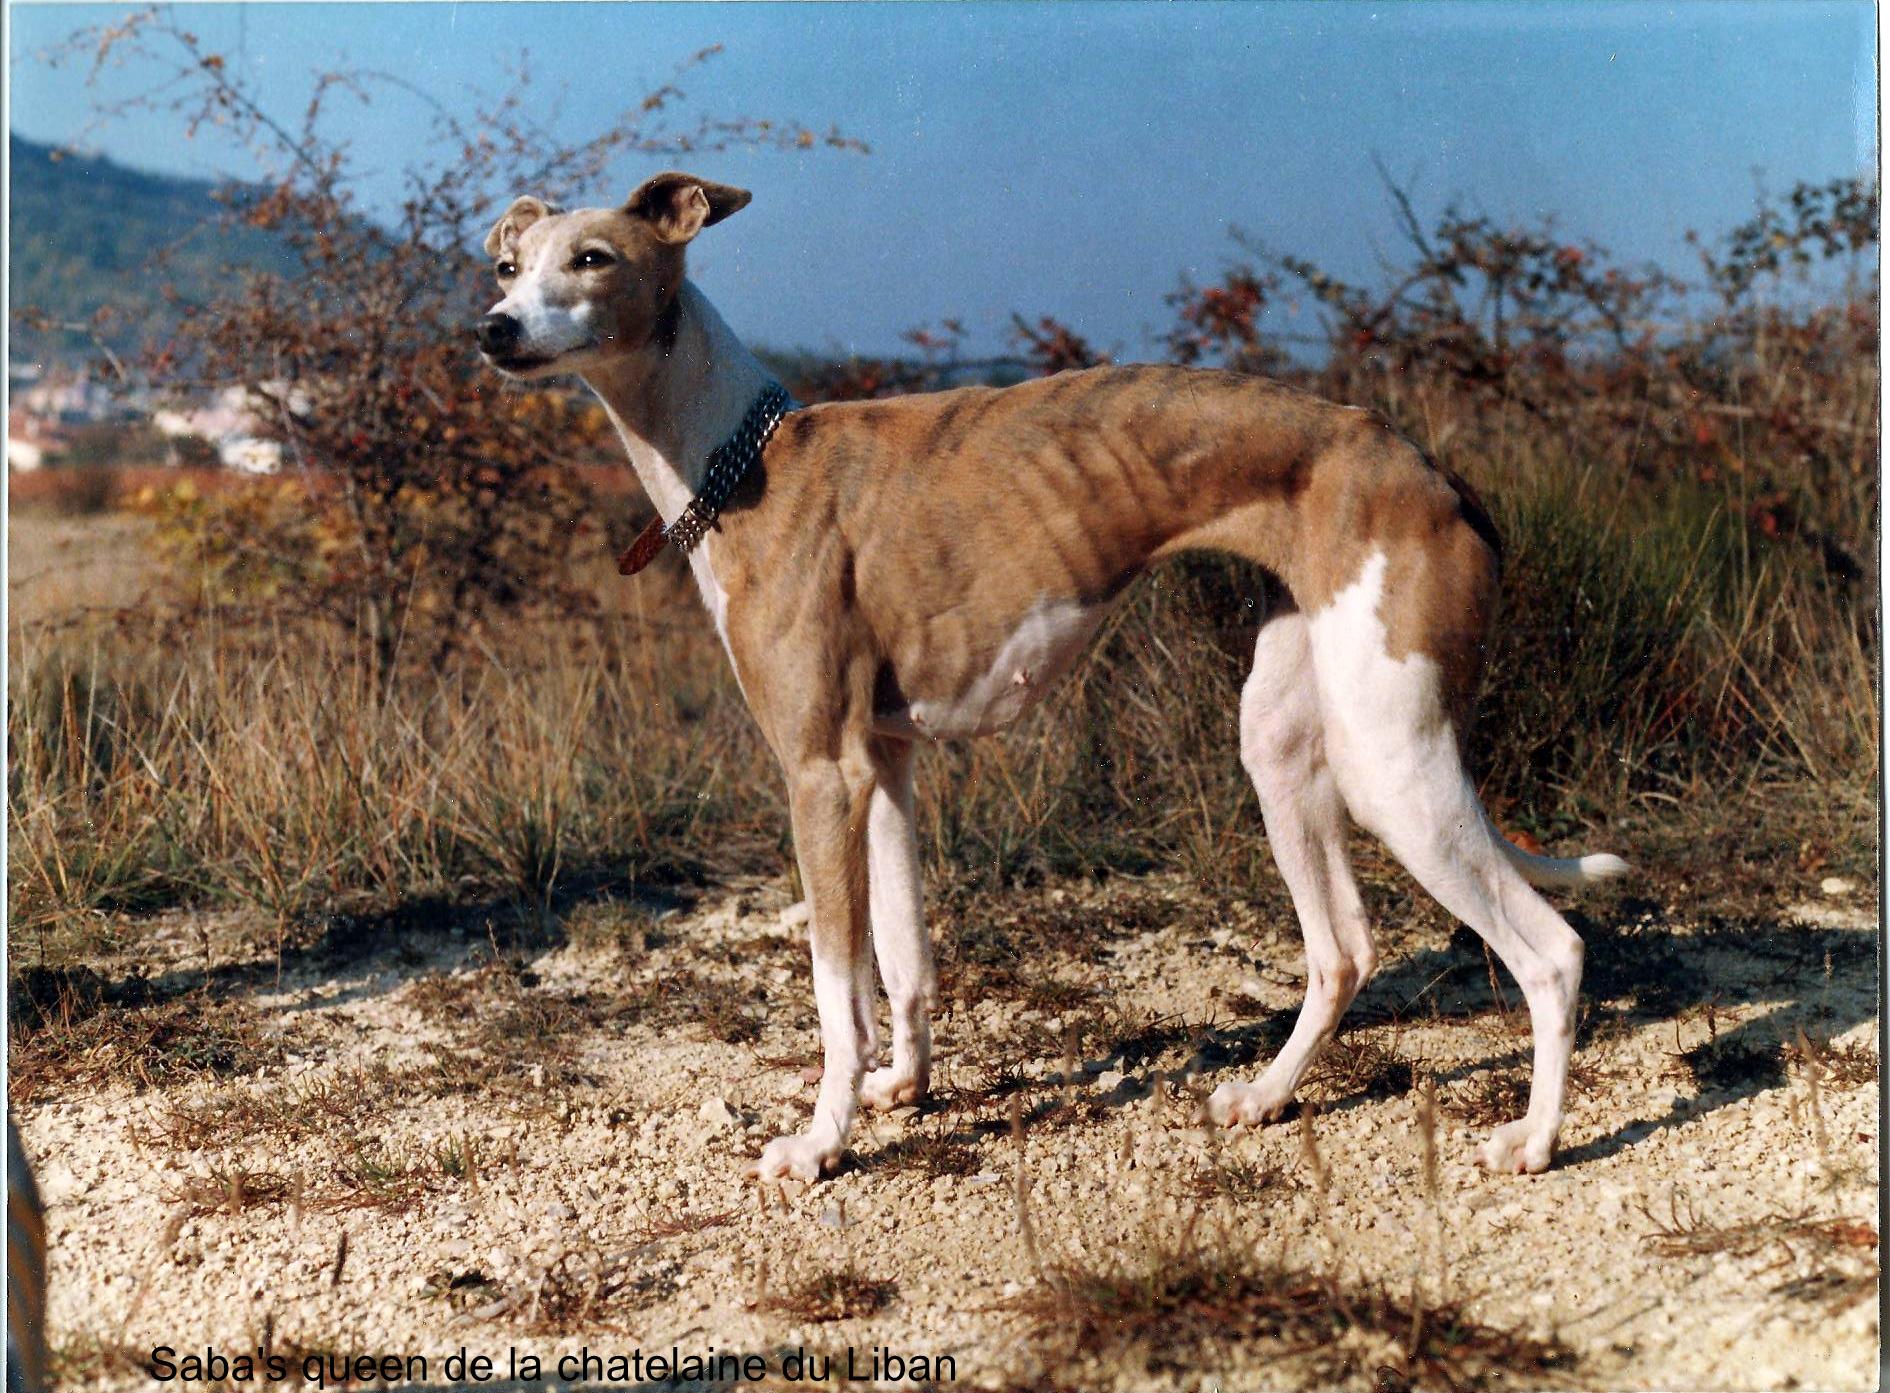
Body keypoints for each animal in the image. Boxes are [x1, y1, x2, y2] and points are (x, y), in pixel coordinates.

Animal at [472, 168, 1625, 1179]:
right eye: (507, 266)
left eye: (592, 257)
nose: (493, 330)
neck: (744, 459)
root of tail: (1435, 473)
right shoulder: (881, 765)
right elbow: (905, 956)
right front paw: (905, 1087)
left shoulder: (817, 773)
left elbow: (837, 986)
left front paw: (821, 1142)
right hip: (1286, 743)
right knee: (1342, 946)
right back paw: (1266, 1094)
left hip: (1392, 760)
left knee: (1552, 953)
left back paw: (1533, 1140)